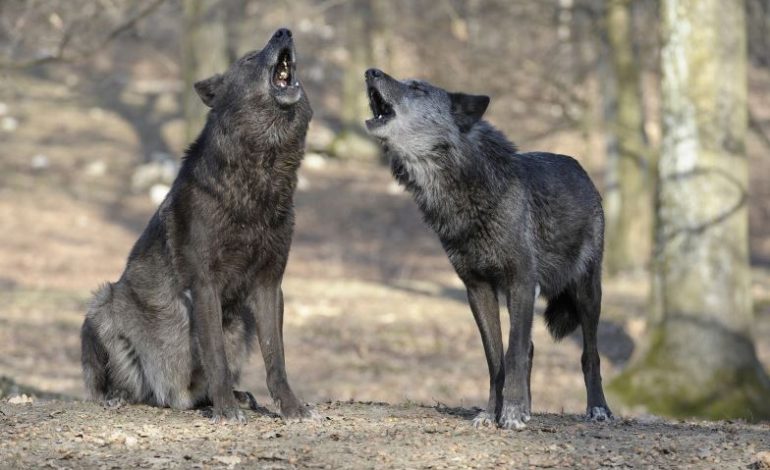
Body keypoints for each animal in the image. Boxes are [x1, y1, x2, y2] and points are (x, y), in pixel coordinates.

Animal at [80, 28, 312, 422]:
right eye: (249, 58)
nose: (284, 31)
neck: (261, 171)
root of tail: (175, 398)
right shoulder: (205, 285)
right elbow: (215, 356)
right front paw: (225, 409)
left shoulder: (269, 285)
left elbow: (276, 358)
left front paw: (291, 407)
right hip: (102, 304)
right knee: (113, 387)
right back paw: (120, 396)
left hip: (241, 324)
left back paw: (233, 397)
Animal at [364, 67, 608, 430]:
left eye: (417, 88)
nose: (371, 71)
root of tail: (582, 171)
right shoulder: (478, 289)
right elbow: (496, 359)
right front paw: (494, 412)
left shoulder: (521, 282)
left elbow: (514, 352)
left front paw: (514, 412)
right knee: (532, 348)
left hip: (586, 292)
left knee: (589, 353)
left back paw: (598, 409)